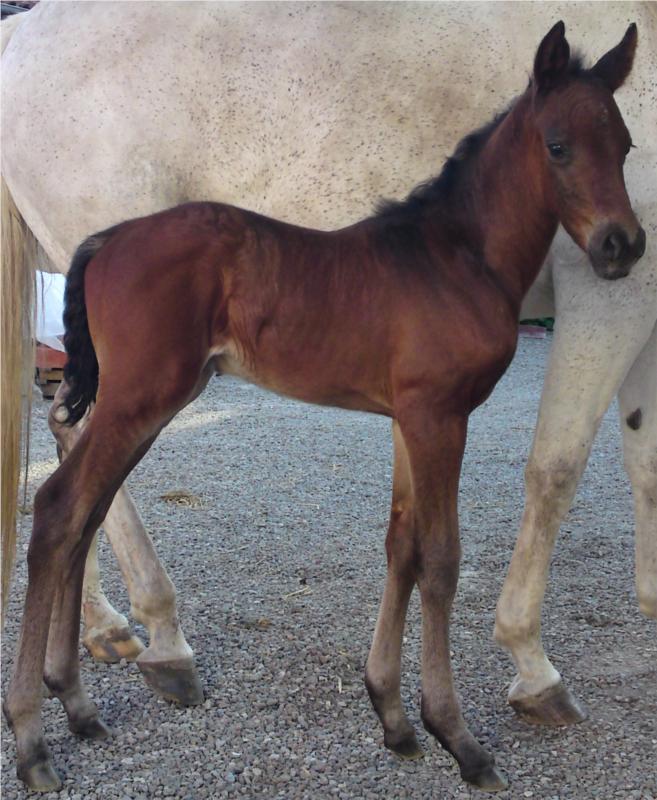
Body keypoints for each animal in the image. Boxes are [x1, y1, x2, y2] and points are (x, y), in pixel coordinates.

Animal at [5, 21, 644, 792]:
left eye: (625, 145)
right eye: (557, 145)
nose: (622, 246)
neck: (456, 256)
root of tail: (106, 241)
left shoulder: (408, 420)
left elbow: (401, 547)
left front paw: (394, 720)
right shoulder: (439, 417)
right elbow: (440, 559)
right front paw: (458, 737)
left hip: (141, 403)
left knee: (85, 512)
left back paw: (77, 705)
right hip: (142, 397)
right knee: (60, 508)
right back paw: (33, 739)